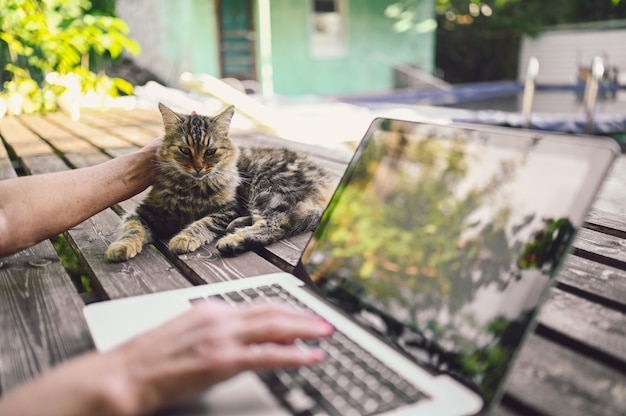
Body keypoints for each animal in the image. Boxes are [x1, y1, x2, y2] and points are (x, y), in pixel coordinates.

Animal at [105, 102, 334, 262]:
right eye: (185, 150)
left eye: (211, 151)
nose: (198, 167)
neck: (191, 189)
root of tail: (326, 178)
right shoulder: (145, 212)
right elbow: (132, 230)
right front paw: (121, 248)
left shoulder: (228, 209)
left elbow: (202, 223)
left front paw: (183, 238)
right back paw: (236, 226)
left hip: (268, 190)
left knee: (276, 226)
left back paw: (233, 240)